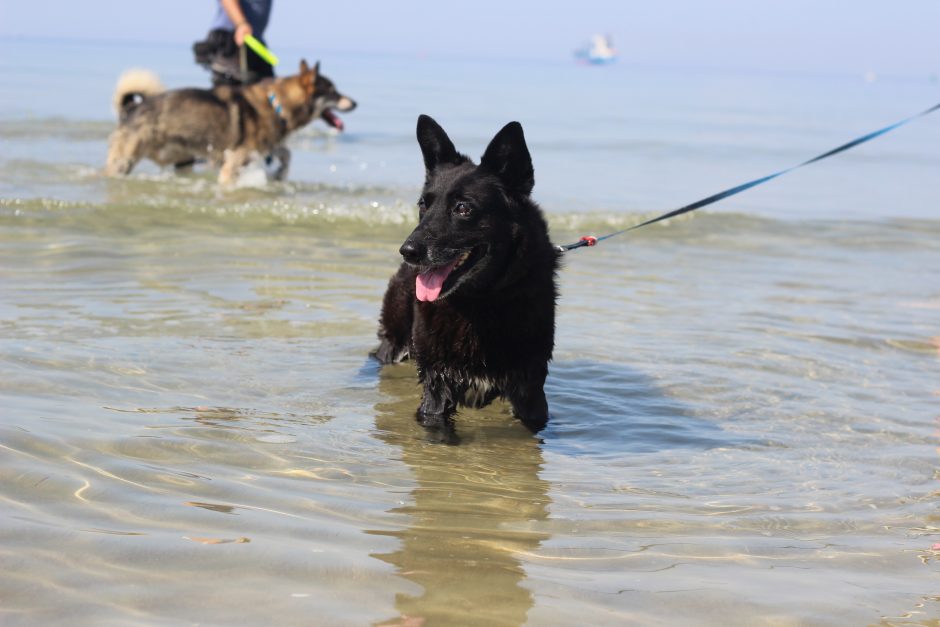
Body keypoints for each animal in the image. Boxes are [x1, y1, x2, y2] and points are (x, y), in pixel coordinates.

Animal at [102, 59, 352, 184]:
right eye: (333, 91)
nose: (355, 103)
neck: (276, 105)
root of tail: (131, 108)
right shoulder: (234, 161)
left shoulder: (266, 148)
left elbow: (286, 154)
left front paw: (280, 175)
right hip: (124, 162)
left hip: (183, 160)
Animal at [374, 115, 560, 440]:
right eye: (423, 205)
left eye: (463, 208)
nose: (407, 251)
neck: (481, 302)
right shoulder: (436, 382)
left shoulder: (530, 387)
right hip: (395, 342)